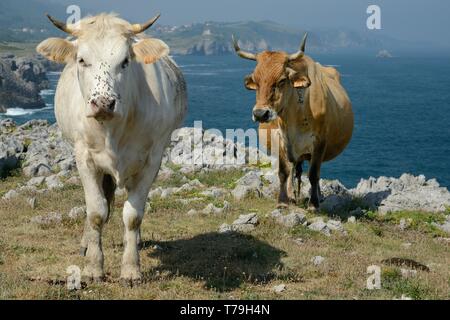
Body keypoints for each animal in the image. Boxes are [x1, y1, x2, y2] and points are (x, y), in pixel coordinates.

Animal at [36, 13, 188, 284]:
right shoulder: (84, 157)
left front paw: (130, 269)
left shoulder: (151, 160)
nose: (103, 103)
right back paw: (87, 243)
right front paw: (93, 267)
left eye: (125, 61)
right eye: (82, 60)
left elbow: (133, 215)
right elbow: (96, 211)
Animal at [234, 34, 354, 210]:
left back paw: (318, 196)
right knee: (292, 170)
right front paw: (283, 201)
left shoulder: (320, 142)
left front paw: (314, 204)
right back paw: (292, 196)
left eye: (282, 80)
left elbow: (314, 174)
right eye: (256, 81)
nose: (260, 114)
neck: (293, 117)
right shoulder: (279, 139)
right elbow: (284, 172)